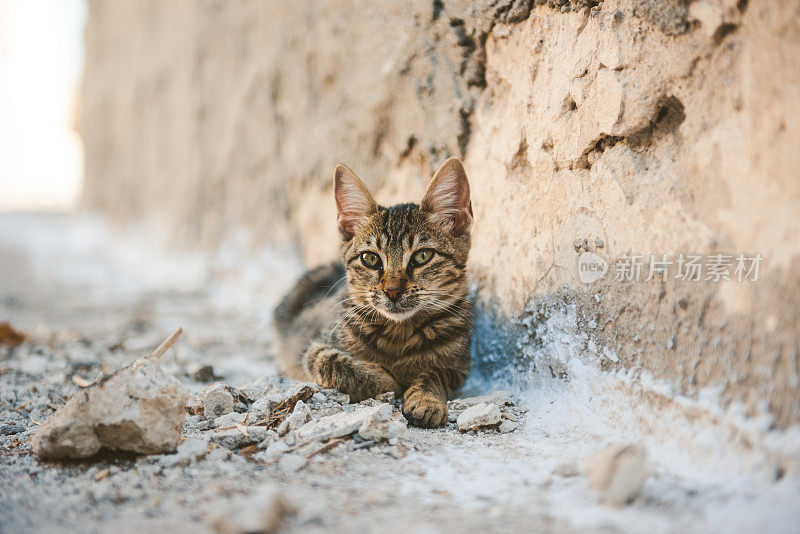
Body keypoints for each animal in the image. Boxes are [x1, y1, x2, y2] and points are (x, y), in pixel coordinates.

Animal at [276, 157, 476, 430]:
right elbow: (333, 363)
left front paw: (426, 400)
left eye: (423, 256)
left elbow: (434, 372)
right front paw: (389, 381)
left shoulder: (459, 366)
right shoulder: (311, 348)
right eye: (370, 259)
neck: (399, 331)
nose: (392, 291)